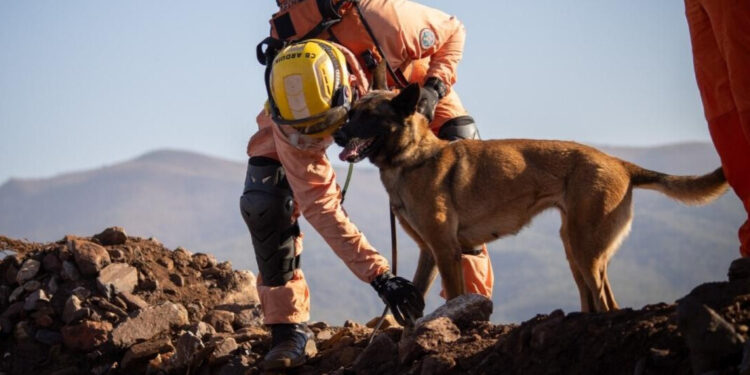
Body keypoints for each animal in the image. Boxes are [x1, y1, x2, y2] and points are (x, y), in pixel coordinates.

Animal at [338, 83, 732, 312]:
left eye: (369, 116)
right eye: (352, 113)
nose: (339, 134)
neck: (412, 157)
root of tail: (619, 163)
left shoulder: (446, 251)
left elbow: (456, 294)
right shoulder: (430, 252)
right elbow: (410, 307)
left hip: (585, 249)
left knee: (607, 303)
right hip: (574, 248)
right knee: (597, 301)